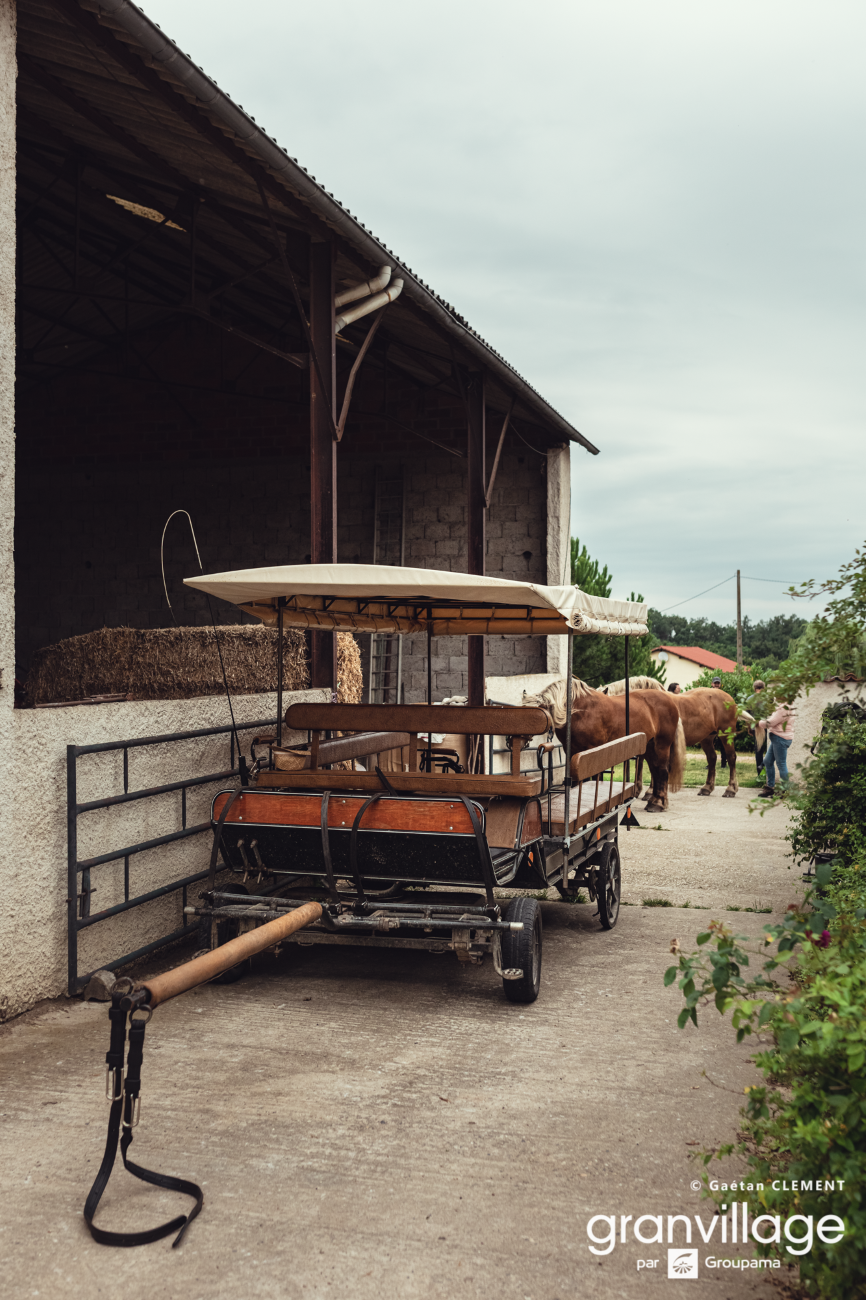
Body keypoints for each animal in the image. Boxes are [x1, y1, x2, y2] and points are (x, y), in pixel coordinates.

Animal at [520, 676, 681, 806]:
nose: (518, 738)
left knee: (662, 770)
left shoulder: (594, 750)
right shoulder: (572, 752)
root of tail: (669, 699)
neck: (581, 712)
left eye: (535, 716)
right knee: (655, 769)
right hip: (649, 746)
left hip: (661, 744)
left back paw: (658, 803)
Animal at [600, 676, 748, 795]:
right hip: (707, 738)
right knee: (712, 758)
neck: (646, 704)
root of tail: (730, 699)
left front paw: (649, 791)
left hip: (726, 734)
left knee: (731, 757)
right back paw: (707, 788)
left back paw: (731, 789)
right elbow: (643, 763)